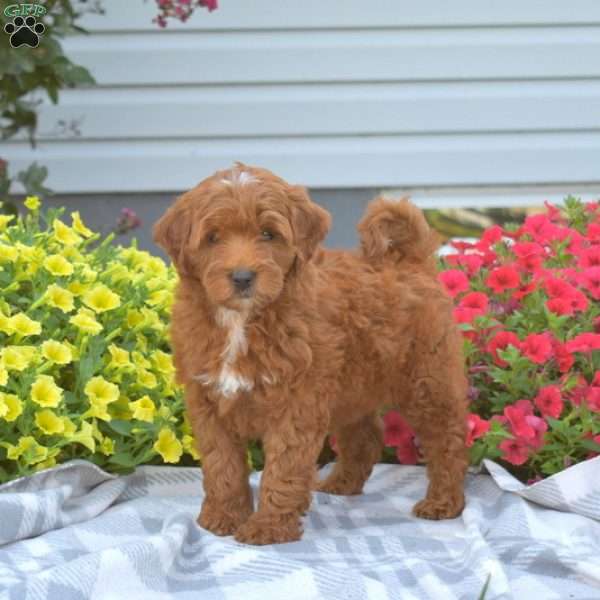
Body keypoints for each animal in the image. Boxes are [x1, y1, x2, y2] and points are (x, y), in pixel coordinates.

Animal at [154, 163, 468, 544]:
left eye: (268, 233)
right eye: (213, 237)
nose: (242, 277)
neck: (242, 321)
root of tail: (410, 260)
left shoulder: (296, 402)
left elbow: (282, 469)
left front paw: (268, 527)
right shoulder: (208, 401)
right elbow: (221, 465)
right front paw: (223, 517)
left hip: (428, 379)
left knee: (447, 439)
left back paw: (443, 502)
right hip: (353, 384)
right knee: (364, 435)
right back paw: (342, 483)